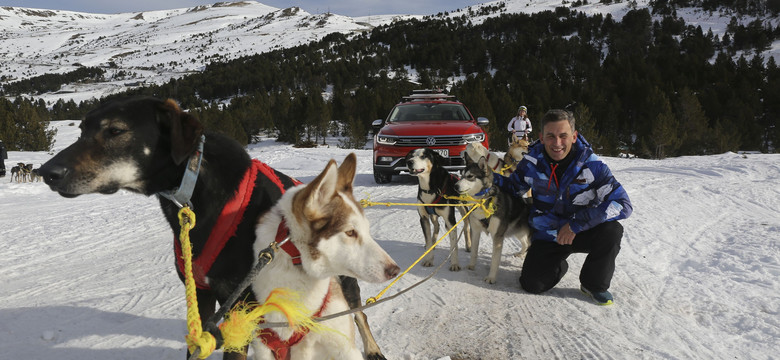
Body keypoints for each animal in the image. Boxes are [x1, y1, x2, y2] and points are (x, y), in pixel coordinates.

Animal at [251, 153, 400, 360]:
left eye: (367, 230)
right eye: (350, 232)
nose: (395, 270)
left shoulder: (346, 347)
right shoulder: (264, 348)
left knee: (361, 316)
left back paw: (373, 349)